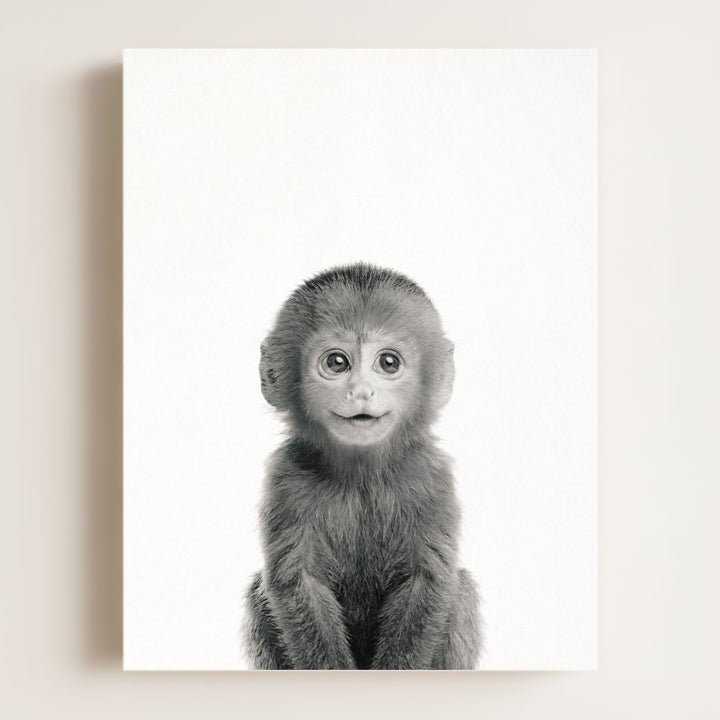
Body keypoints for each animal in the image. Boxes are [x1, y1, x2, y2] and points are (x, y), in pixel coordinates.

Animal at [243, 263, 482, 670]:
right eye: (337, 363)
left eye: (388, 363)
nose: (360, 392)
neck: (361, 477)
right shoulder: (286, 478)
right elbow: (298, 583)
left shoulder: (431, 476)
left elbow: (427, 581)